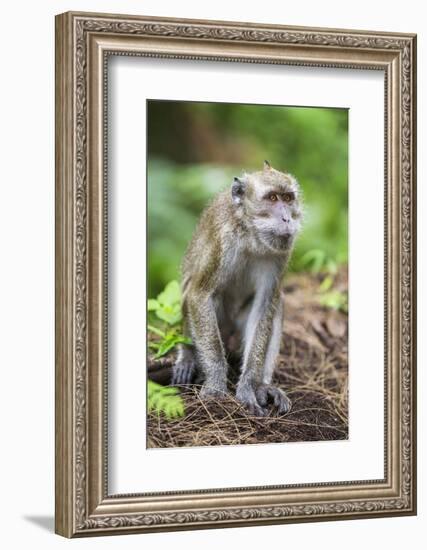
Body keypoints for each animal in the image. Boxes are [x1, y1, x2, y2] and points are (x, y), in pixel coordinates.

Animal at [172, 162, 302, 416]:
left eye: (288, 198)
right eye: (272, 198)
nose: (286, 218)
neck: (251, 234)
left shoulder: (280, 254)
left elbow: (264, 307)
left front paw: (249, 387)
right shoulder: (222, 240)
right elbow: (199, 294)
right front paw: (215, 385)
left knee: (277, 302)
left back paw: (264, 385)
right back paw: (188, 356)